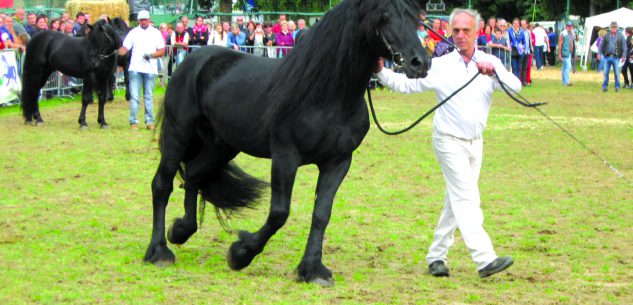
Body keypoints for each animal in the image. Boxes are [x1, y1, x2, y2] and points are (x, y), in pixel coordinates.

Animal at [145, 0, 430, 284]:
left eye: (416, 19)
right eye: (385, 17)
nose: (420, 62)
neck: (328, 94)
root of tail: (194, 59)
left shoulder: (338, 162)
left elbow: (322, 214)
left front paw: (312, 269)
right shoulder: (286, 156)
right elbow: (279, 212)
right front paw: (240, 254)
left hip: (221, 146)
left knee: (193, 175)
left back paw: (181, 230)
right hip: (178, 133)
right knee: (162, 185)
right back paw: (158, 251)